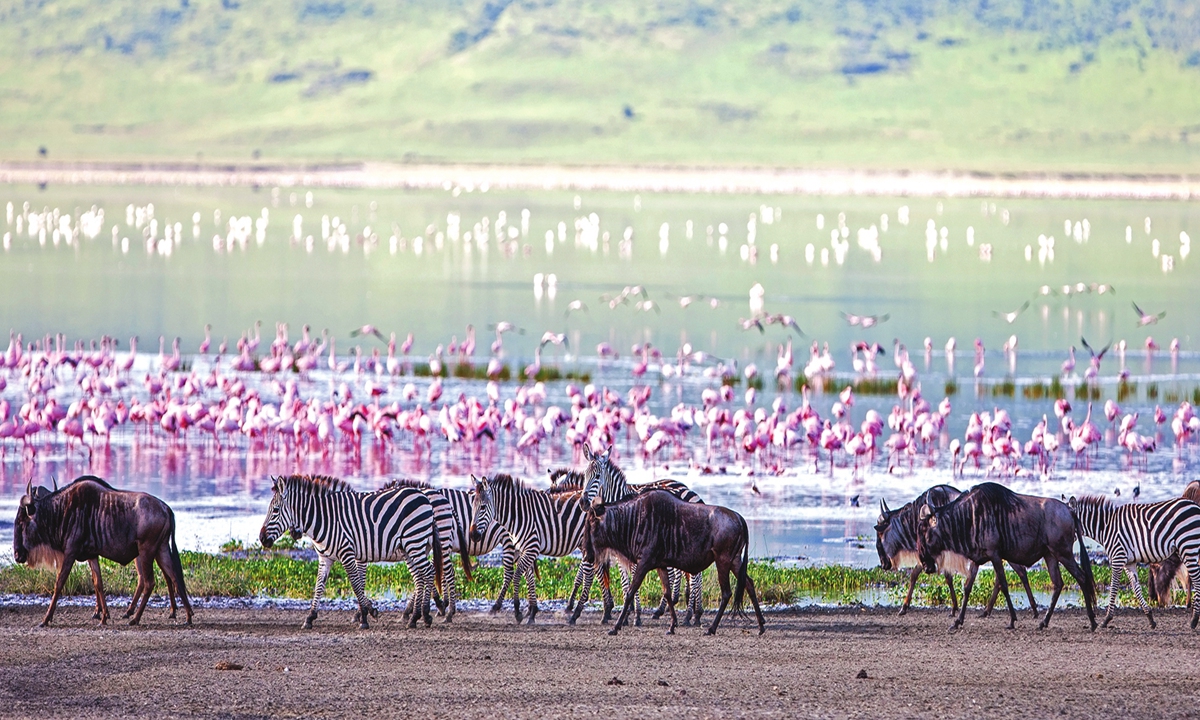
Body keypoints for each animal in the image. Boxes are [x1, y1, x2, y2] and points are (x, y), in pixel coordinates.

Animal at [259, 475, 446, 628]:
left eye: (275, 510)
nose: (261, 539)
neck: (324, 519)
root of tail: (424, 497)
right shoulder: (325, 558)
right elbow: (319, 586)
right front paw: (310, 618)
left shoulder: (347, 553)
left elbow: (356, 584)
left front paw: (364, 616)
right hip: (410, 548)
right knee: (419, 577)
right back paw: (415, 618)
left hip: (414, 542)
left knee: (428, 572)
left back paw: (425, 615)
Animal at [472, 472, 595, 624]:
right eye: (472, 507)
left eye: (483, 507)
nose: (473, 535)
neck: (517, 515)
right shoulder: (524, 548)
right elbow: (529, 577)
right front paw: (532, 612)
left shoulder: (532, 547)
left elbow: (517, 575)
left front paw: (518, 611)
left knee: (589, 575)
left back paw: (576, 614)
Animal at [573, 446, 700, 628]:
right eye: (584, 475)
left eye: (597, 477)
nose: (583, 503)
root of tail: (688, 490)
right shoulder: (620, 553)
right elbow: (625, 583)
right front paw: (626, 616)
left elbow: (634, 581)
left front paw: (637, 615)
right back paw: (692, 614)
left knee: (695, 576)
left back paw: (690, 615)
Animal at [1070, 494, 1200, 628]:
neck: (1106, 527)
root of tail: (1195, 505)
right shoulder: (1129, 563)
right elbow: (1136, 588)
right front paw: (1150, 618)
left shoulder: (1118, 558)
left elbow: (1113, 587)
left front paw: (1107, 619)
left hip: (1188, 546)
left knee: (1197, 580)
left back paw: (1194, 620)